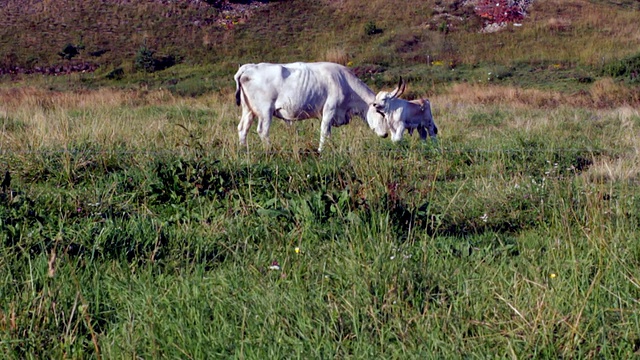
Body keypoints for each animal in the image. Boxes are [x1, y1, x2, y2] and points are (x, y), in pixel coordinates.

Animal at [234, 62, 388, 152]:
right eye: (381, 113)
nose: (386, 134)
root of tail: (249, 67)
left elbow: (328, 132)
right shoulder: (329, 109)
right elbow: (324, 132)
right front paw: (321, 151)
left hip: (248, 110)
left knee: (243, 128)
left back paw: (243, 150)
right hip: (265, 111)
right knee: (262, 131)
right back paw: (269, 151)